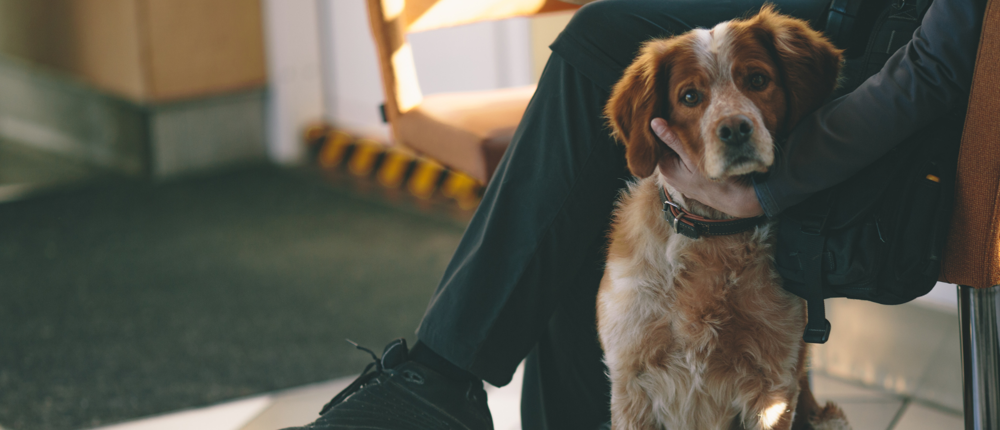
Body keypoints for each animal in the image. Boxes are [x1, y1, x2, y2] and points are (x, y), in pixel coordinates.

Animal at [600, 5, 852, 430]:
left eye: (757, 80)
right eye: (689, 96)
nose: (735, 128)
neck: (715, 235)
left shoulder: (773, 386)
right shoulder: (630, 380)